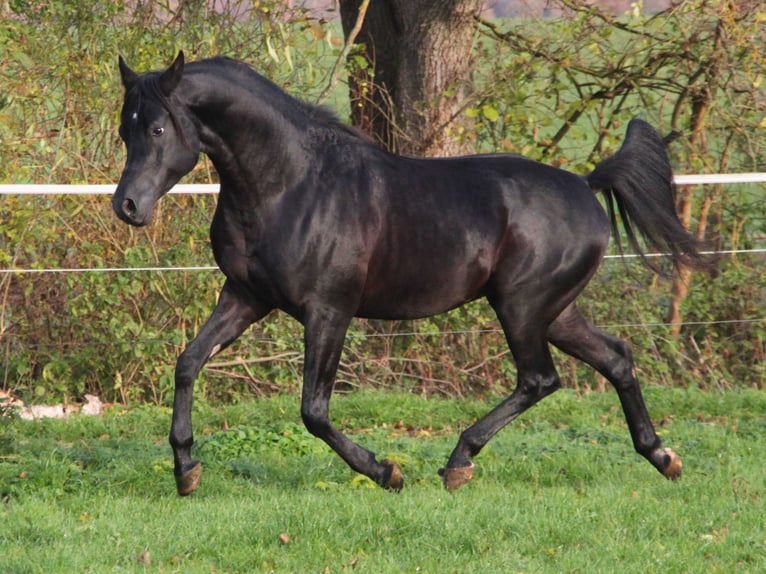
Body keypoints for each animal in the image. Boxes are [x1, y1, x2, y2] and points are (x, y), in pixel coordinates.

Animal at [112, 51, 708, 498]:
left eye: (159, 127)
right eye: (126, 131)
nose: (128, 206)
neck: (292, 184)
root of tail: (587, 185)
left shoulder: (329, 311)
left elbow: (313, 411)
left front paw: (386, 472)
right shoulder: (245, 297)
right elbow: (188, 363)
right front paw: (186, 470)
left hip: (522, 308)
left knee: (540, 379)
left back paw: (459, 463)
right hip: (555, 312)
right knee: (616, 358)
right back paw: (663, 456)